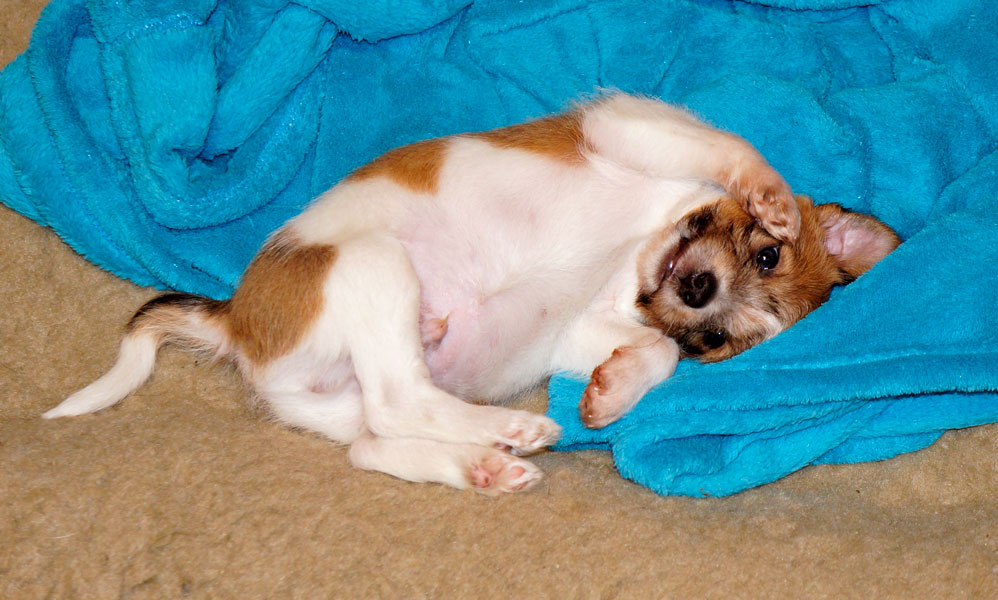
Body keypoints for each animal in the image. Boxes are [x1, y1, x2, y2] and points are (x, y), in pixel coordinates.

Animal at [43, 93, 900, 495]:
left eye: (719, 341)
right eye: (764, 250)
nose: (695, 288)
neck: (640, 252)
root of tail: (235, 324)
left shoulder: (587, 329)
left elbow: (654, 351)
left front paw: (613, 392)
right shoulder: (627, 126)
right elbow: (735, 148)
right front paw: (770, 192)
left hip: (337, 393)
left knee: (377, 433)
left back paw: (486, 461)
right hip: (374, 264)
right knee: (398, 401)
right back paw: (508, 435)